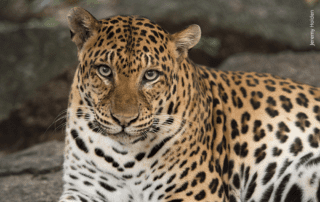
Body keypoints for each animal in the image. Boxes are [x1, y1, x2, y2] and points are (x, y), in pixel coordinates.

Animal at [58, 6, 320, 202]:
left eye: (150, 75)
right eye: (104, 70)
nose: (124, 120)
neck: (124, 157)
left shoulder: (194, 193)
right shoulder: (82, 189)